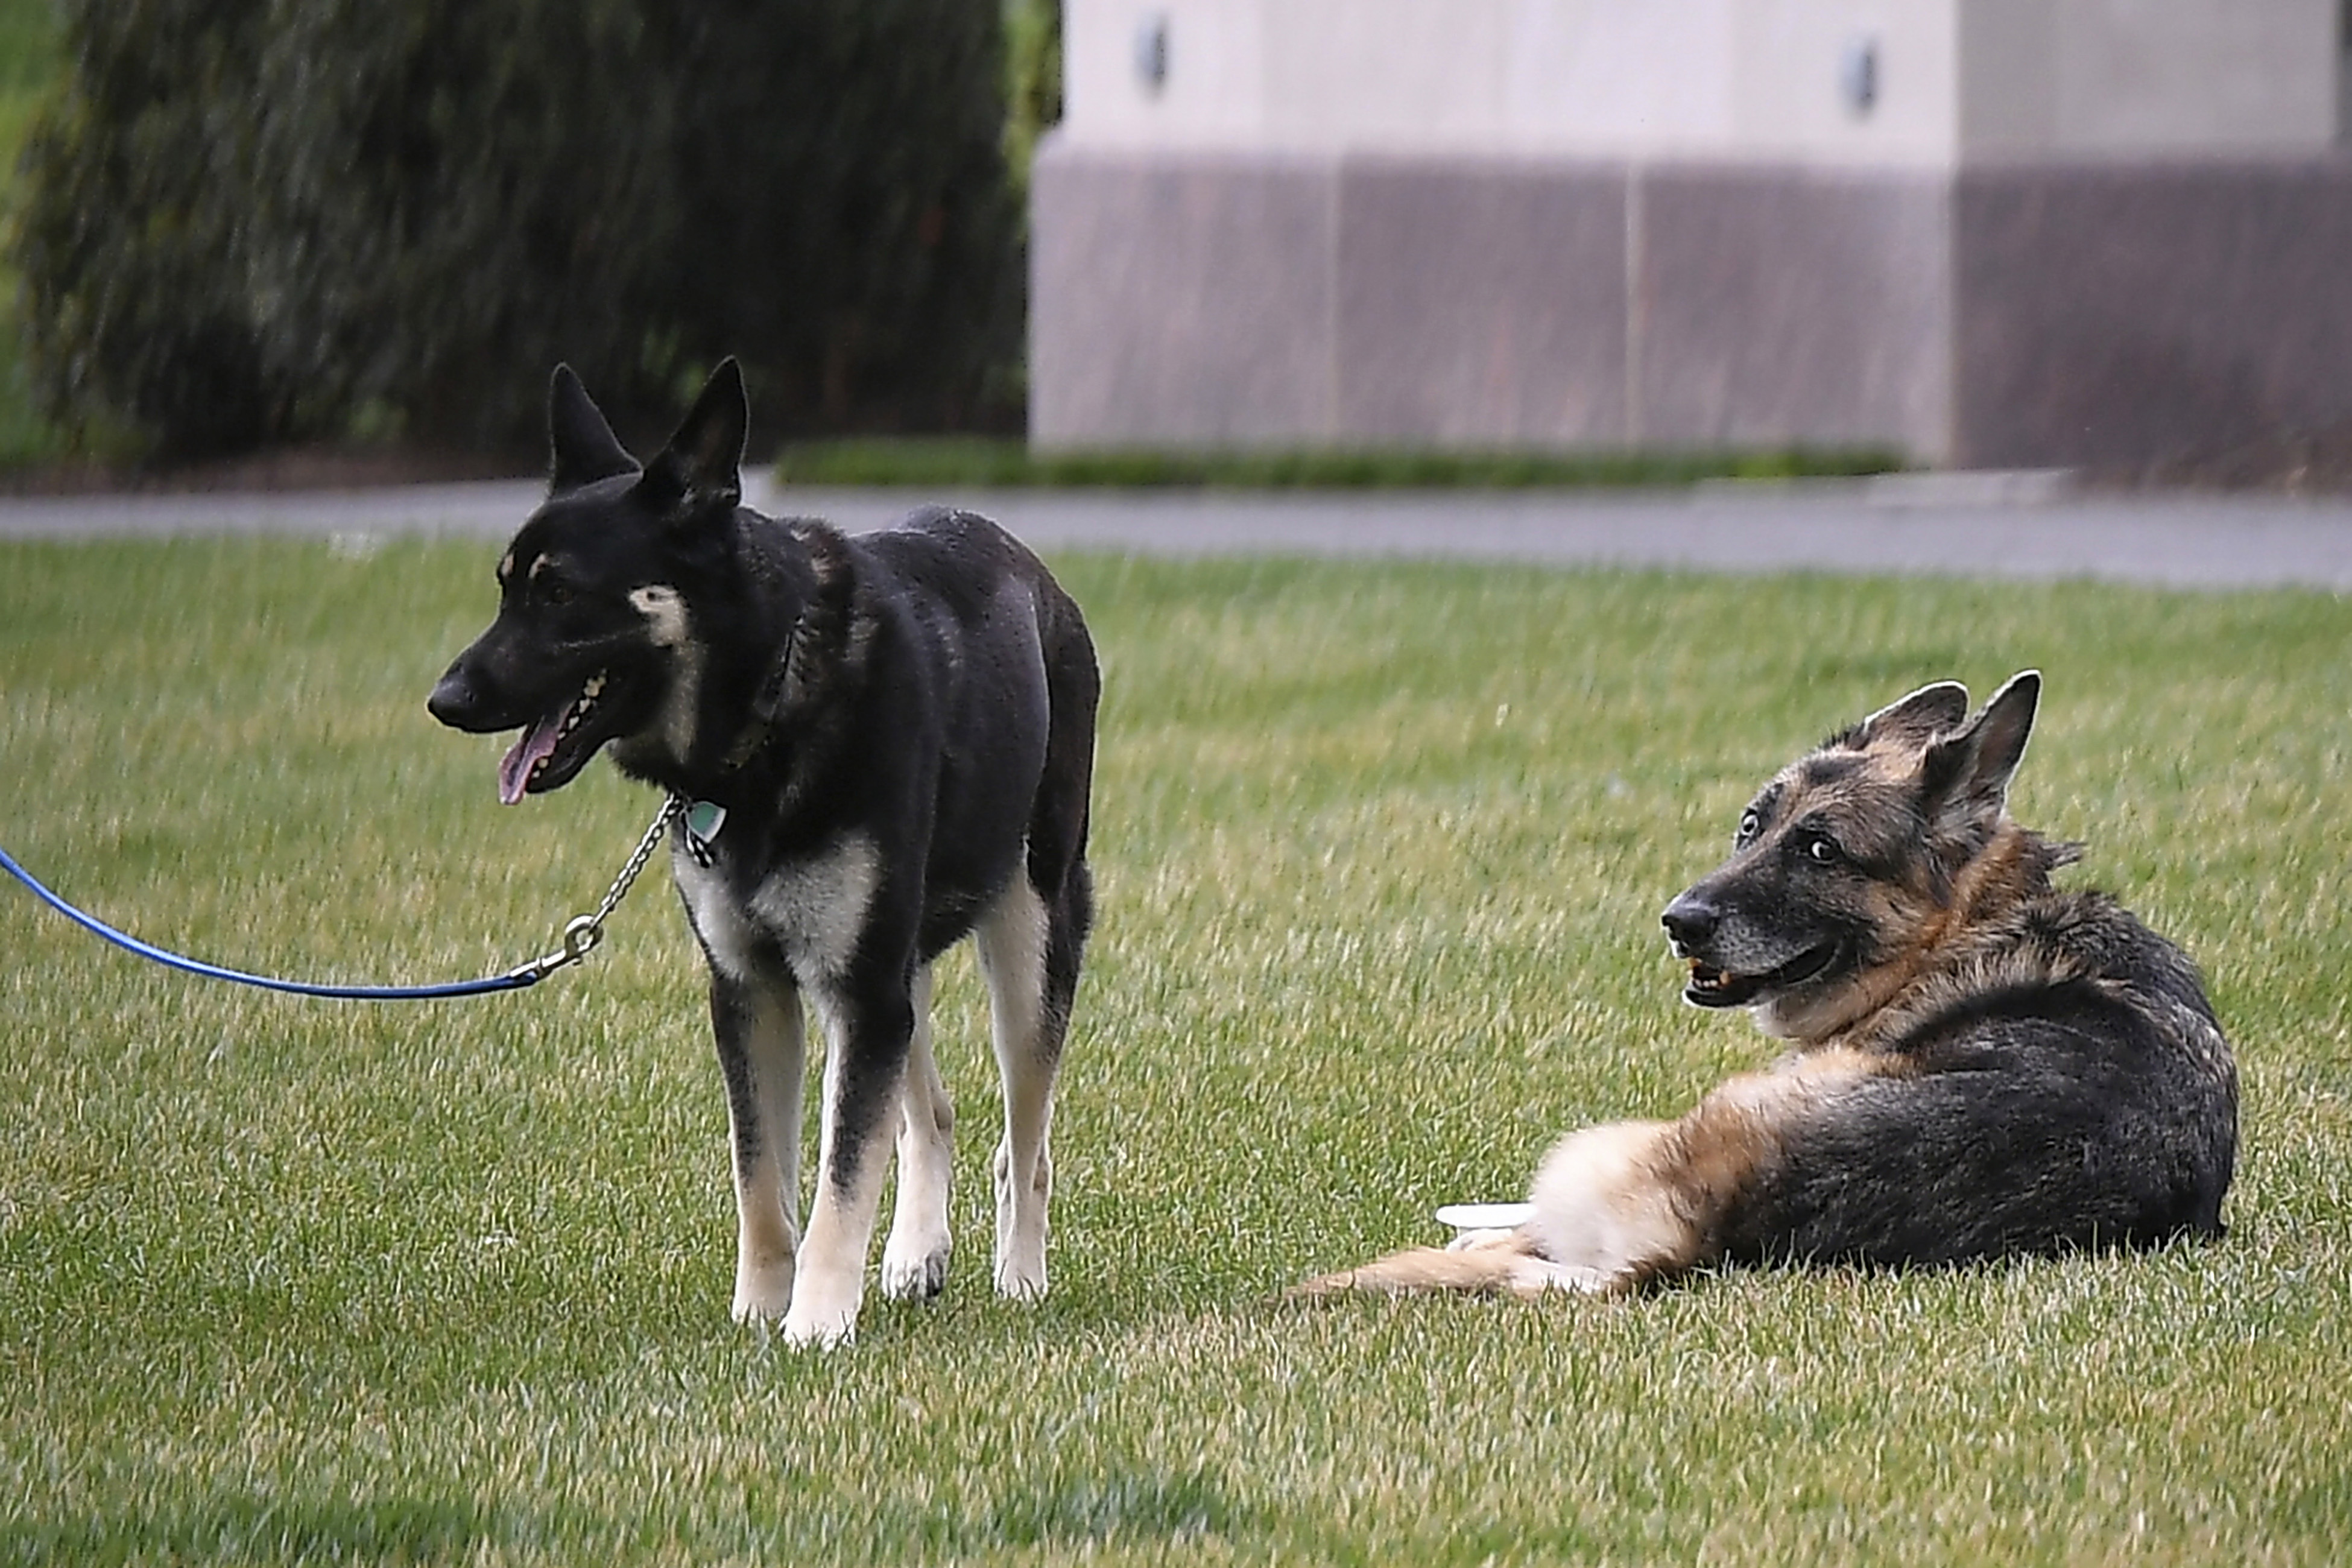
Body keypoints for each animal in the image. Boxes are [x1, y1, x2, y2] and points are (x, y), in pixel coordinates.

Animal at [430, 364, 1101, 1354]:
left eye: (559, 594)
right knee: (931, 1112)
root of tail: (1036, 573)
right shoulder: (757, 992)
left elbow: (840, 1177)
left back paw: (1021, 1275)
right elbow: (763, 1179)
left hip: (1028, 937)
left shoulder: (857, 991)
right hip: (896, 966)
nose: (445, 699)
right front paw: (761, 1308)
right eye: (506, 588)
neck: (771, 700)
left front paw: (817, 1324)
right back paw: (917, 1252)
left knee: (1028, 1141)